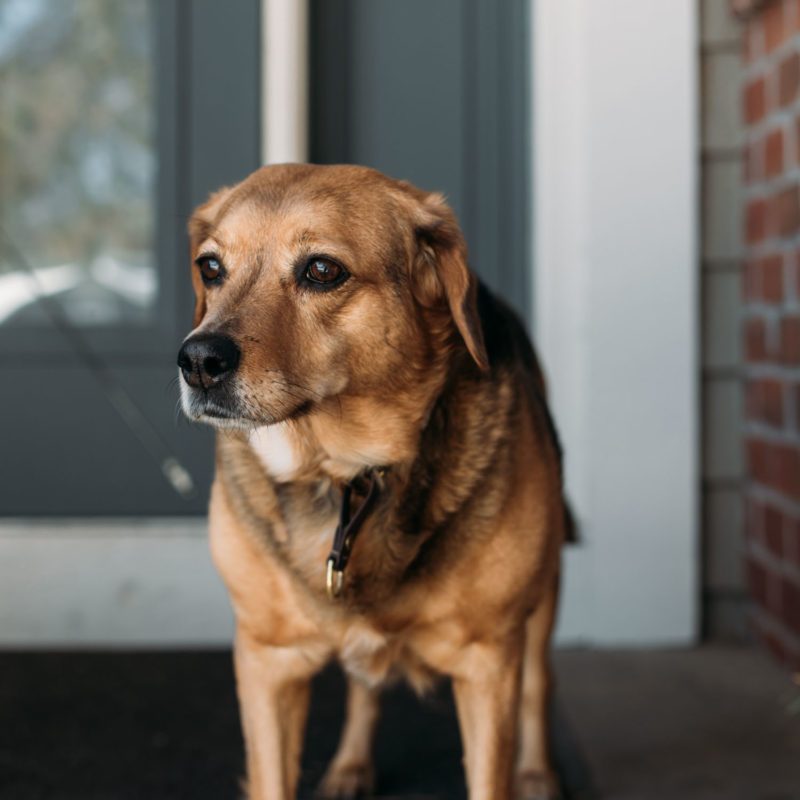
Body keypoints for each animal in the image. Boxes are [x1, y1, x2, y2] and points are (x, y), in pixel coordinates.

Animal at [180, 164, 568, 800]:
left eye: (321, 270)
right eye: (210, 267)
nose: (197, 362)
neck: (345, 477)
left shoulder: (488, 661)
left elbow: (496, 763)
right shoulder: (268, 661)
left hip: (541, 603)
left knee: (539, 684)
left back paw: (538, 773)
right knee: (365, 690)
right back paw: (350, 767)